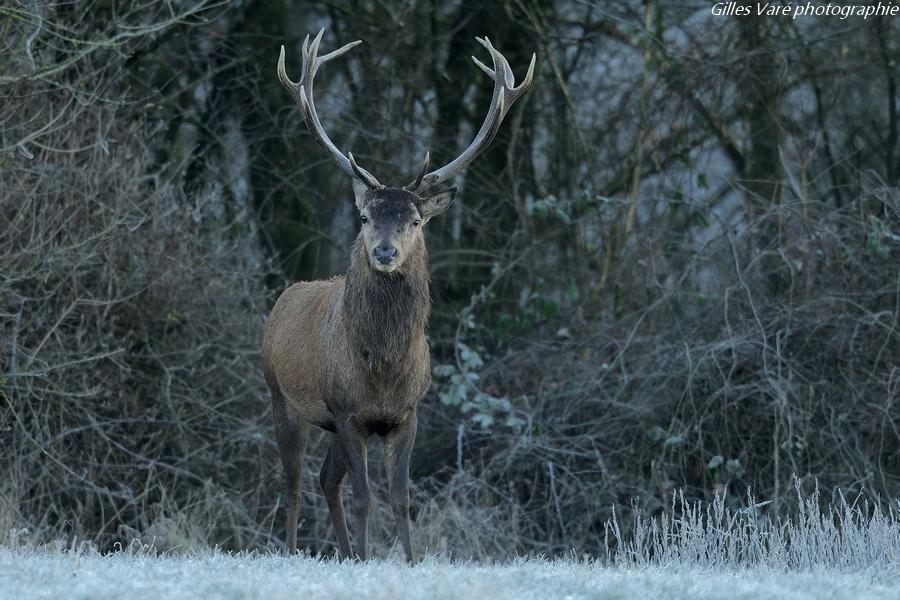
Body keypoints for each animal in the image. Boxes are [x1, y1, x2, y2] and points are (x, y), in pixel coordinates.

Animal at [264, 28, 536, 564]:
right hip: (282, 397)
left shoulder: (404, 415)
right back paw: (291, 551)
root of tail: (281, 304)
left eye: (414, 220)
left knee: (326, 481)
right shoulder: (348, 411)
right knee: (293, 483)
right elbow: (366, 498)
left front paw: (406, 560)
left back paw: (345, 553)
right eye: (366, 216)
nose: (385, 252)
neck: (384, 368)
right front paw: (369, 558)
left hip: (330, 423)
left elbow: (402, 498)